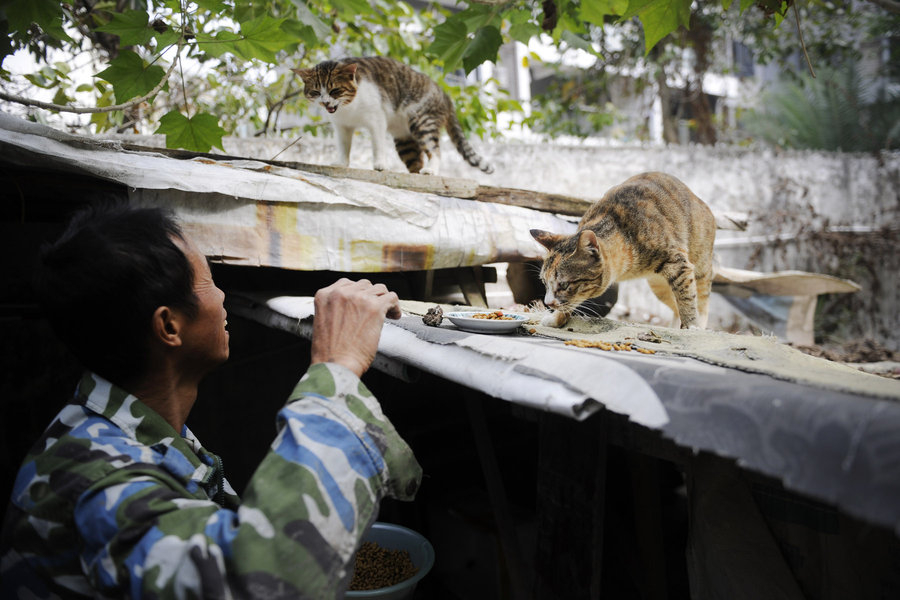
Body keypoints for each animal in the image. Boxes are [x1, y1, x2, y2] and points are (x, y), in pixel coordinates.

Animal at [294, 56, 492, 176]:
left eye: (334, 90)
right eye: (316, 92)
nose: (325, 102)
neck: (348, 108)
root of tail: (445, 94)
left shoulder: (376, 119)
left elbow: (378, 145)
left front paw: (380, 164)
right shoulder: (342, 126)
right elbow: (344, 147)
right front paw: (341, 163)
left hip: (422, 122)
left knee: (435, 150)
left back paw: (430, 171)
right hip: (404, 141)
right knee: (416, 161)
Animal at [528, 171, 716, 330]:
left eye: (564, 285)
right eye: (544, 283)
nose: (548, 303)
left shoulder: (678, 264)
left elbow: (687, 299)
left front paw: (691, 327)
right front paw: (557, 318)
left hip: (699, 267)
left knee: (700, 299)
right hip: (659, 285)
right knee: (675, 305)